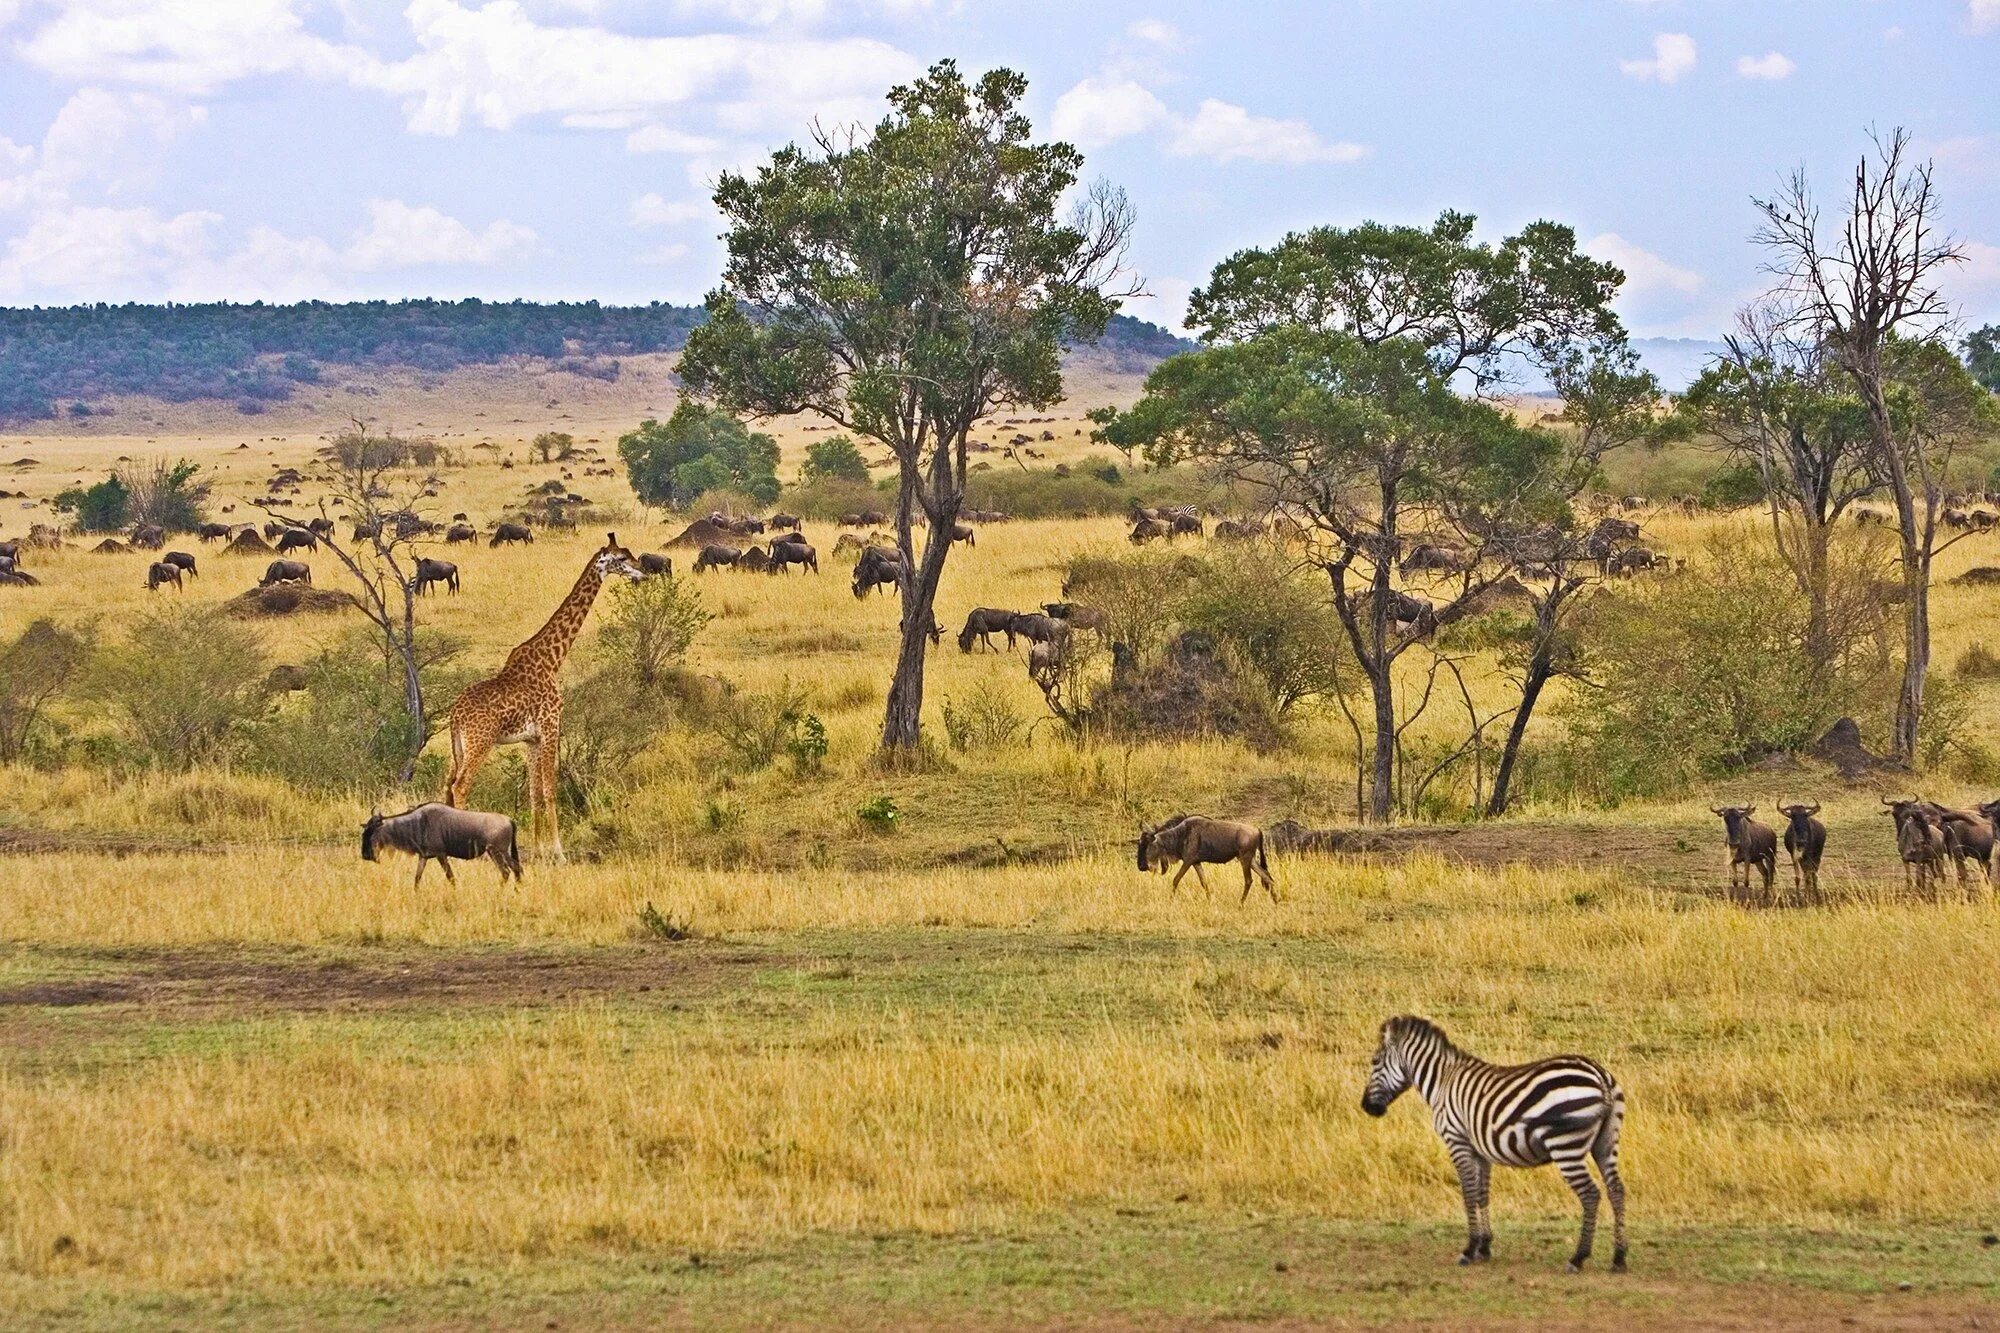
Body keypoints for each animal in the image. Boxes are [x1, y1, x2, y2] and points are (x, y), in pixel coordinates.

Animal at [444, 532, 640, 860]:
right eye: (622, 558)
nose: (642, 571)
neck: (552, 659)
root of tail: (455, 713)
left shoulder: (531, 739)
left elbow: (534, 793)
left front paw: (536, 850)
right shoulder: (551, 726)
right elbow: (550, 789)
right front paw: (559, 852)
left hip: (457, 745)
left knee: (447, 784)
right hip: (480, 742)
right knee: (461, 786)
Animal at [1360, 1016, 1624, 1264]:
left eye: (1374, 1061)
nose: (1366, 1107)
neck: (1443, 1081)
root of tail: (1600, 1076)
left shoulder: (1457, 1141)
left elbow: (1468, 1192)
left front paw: (1469, 1249)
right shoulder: (1480, 1150)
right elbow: (1482, 1193)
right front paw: (1484, 1246)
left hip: (1565, 1145)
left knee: (1590, 1194)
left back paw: (1579, 1257)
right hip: (1605, 1143)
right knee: (1616, 1190)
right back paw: (1619, 1257)